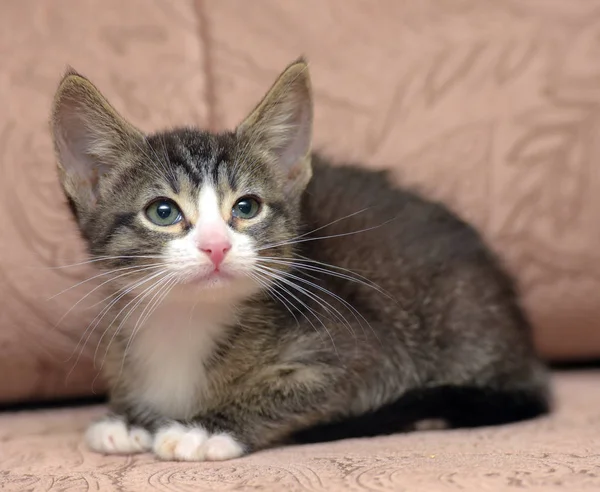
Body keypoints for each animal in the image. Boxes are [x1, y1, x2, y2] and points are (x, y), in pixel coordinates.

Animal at [51, 57, 548, 462]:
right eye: (163, 212)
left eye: (246, 207)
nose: (216, 246)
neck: (188, 320)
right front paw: (128, 419)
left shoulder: (371, 351)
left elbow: (294, 389)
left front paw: (205, 429)